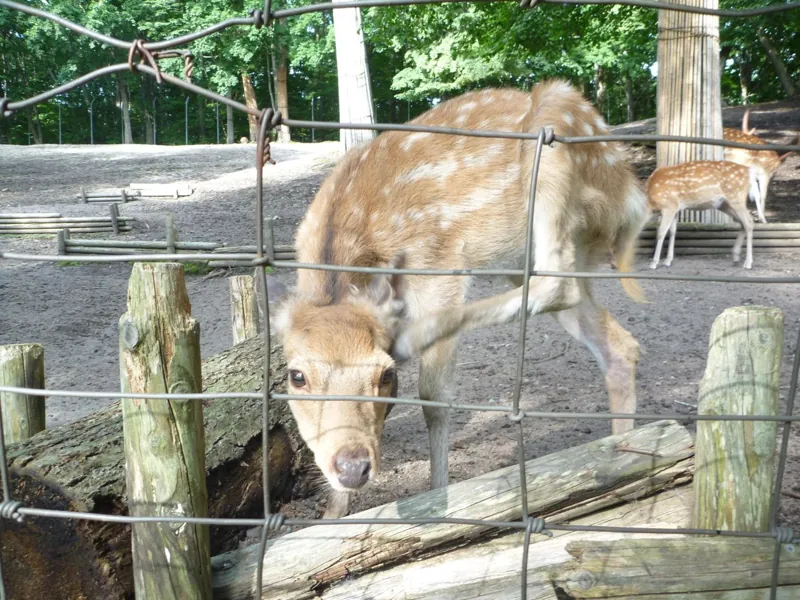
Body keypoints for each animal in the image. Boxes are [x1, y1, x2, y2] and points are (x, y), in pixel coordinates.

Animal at [271, 79, 651, 519]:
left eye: (385, 375)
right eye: (296, 376)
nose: (352, 467)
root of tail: (628, 187)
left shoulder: (438, 267)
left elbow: (434, 398)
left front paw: (438, 498)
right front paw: (332, 517)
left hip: (554, 146)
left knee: (557, 283)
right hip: (529, 256)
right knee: (618, 344)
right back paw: (623, 458)